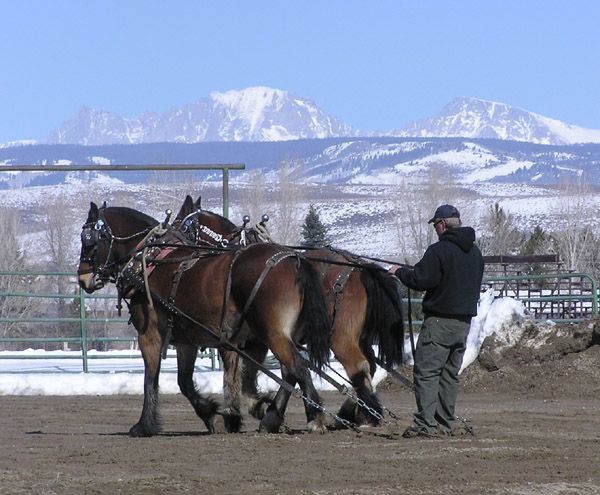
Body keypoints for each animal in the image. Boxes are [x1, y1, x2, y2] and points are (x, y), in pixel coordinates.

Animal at [77, 201, 332, 434]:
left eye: (88, 240)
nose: (83, 278)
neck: (149, 261)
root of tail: (294, 259)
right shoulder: (187, 341)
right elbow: (186, 381)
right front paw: (216, 415)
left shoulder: (149, 334)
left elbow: (151, 378)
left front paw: (144, 425)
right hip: (275, 335)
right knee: (290, 371)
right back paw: (274, 417)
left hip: (272, 333)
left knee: (298, 367)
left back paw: (314, 417)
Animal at [176, 196, 406, 428]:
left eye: (179, 224)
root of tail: (360, 268)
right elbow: (280, 372)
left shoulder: (244, 337)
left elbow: (241, 373)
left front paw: (242, 414)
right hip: (359, 337)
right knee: (369, 366)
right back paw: (354, 412)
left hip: (340, 337)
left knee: (359, 366)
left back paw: (363, 415)